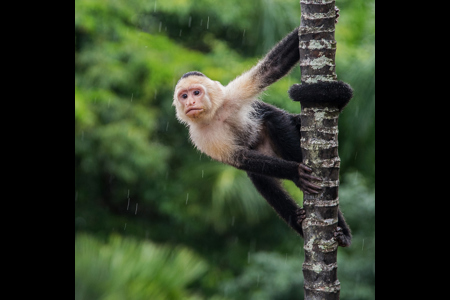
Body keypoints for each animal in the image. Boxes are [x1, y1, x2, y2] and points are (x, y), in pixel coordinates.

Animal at [172, 25, 352, 246]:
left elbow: (274, 67)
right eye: (184, 96)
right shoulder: (199, 135)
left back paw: (340, 231)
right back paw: (298, 217)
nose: (190, 103)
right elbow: (241, 159)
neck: (213, 115)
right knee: (260, 175)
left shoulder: (230, 95)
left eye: (196, 92)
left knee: (276, 120)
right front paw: (294, 172)